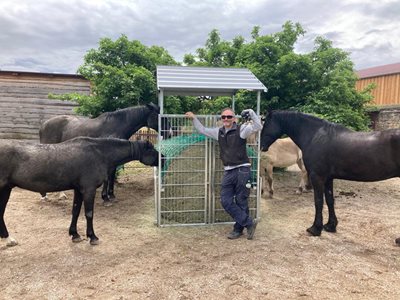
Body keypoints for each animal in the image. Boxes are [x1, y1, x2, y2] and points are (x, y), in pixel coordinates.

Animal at [1, 137, 161, 245]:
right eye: (152, 149)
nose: (163, 159)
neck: (99, 153)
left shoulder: (78, 190)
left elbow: (75, 211)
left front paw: (75, 234)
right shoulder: (89, 190)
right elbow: (89, 213)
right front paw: (92, 237)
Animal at [260, 109, 400, 245]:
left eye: (265, 124)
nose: (261, 146)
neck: (315, 136)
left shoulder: (317, 177)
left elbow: (318, 201)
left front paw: (315, 228)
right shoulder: (328, 178)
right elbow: (330, 200)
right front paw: (330, 226)